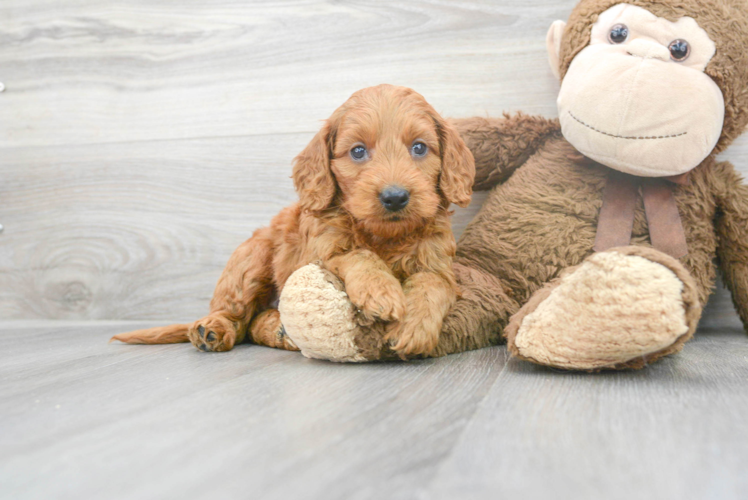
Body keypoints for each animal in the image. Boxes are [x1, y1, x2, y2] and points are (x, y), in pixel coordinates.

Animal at [112, 87, 474, 360]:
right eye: (358, 151)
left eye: (419, 148)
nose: (395, 197)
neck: (384, 236)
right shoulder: (322, 251)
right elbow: (357, 254)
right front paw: (380, 291)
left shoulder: (439, 264)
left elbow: (431, 285)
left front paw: (413, 327)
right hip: (251, 259)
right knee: (235, 317)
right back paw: (211, 329)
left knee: (254, 324)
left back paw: (279, 329)